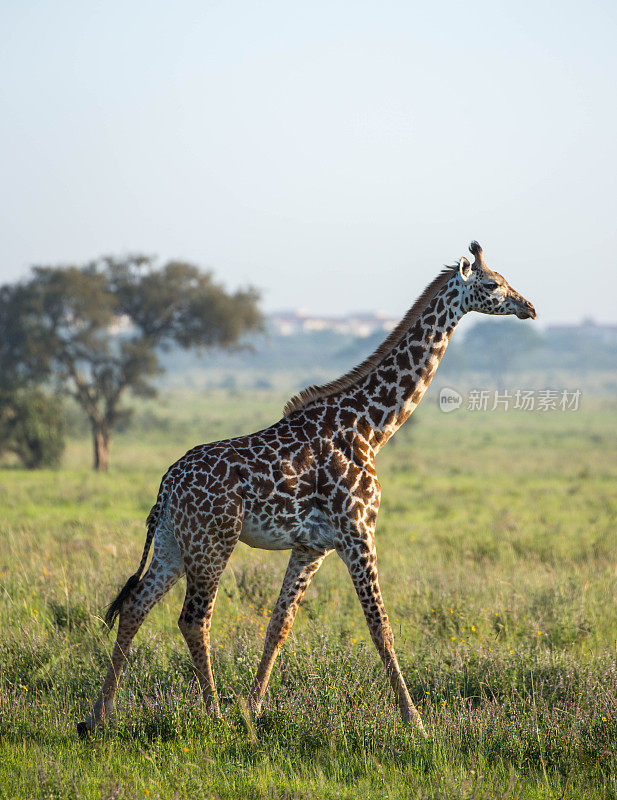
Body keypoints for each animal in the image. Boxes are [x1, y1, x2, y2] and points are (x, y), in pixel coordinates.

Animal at [77, 242, 536, 736]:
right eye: (492, 284)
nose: (529, 307)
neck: (371, 427)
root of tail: (165, 485)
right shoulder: (358, 534)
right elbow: (381, 626)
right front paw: (414, 719)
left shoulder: (312, 546)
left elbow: (280, 622)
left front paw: (253, 708)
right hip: (212, 541)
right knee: (193, 618)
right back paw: (212, 713)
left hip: (173, 543)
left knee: (135, 606)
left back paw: (99, 714)